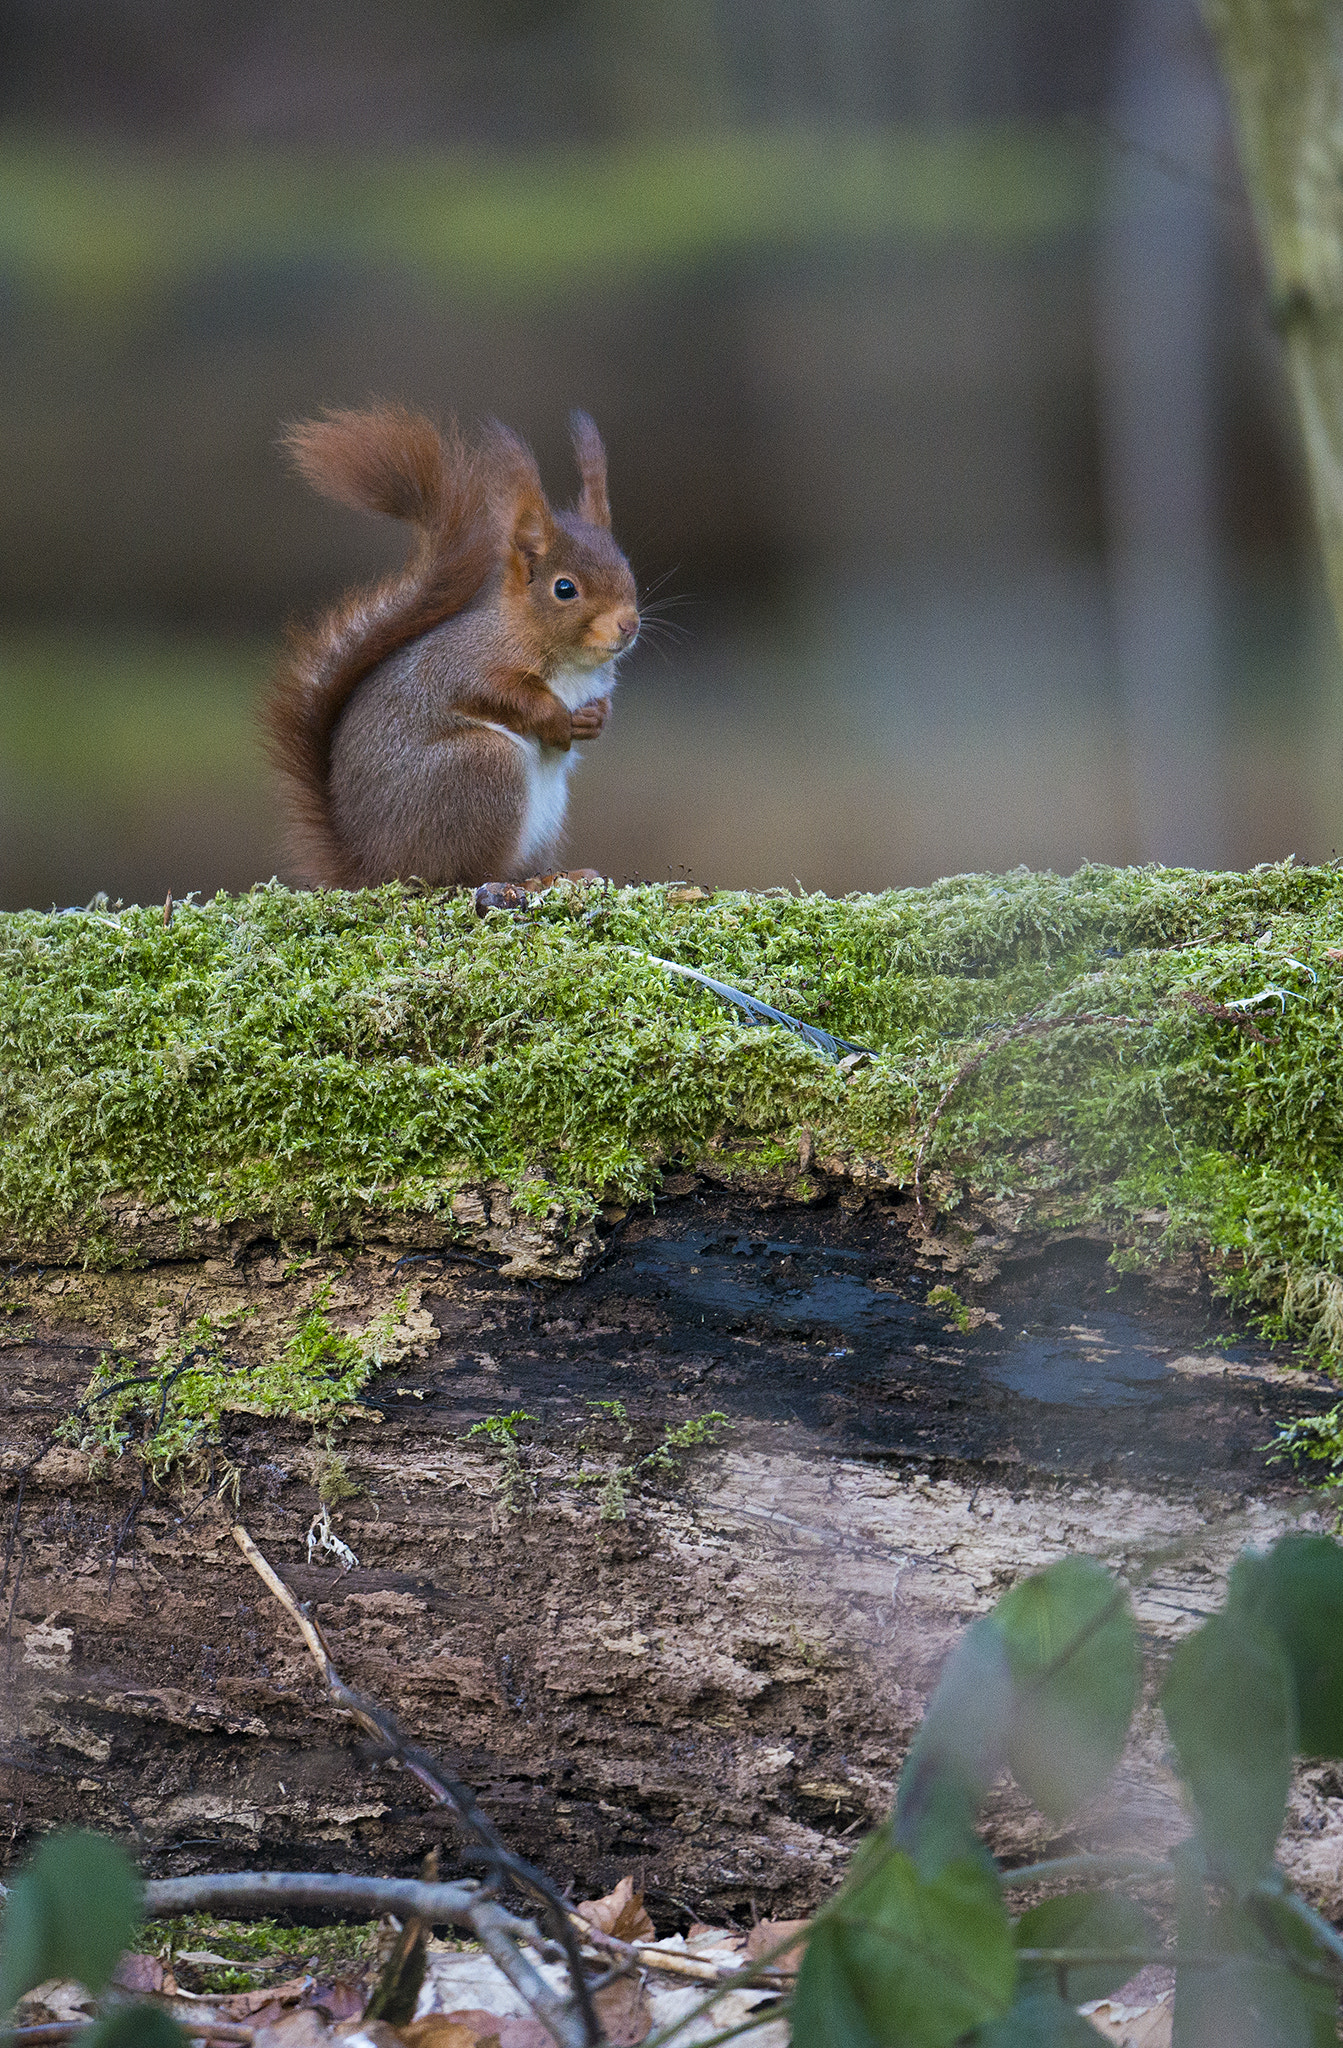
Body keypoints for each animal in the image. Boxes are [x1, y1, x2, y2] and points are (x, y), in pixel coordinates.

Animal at [268, 401, 638, 888]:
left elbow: (600, 708)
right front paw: (554, 719)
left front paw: (593, 720)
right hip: (480, 768)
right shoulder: (465, 663)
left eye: (627, 568)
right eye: (564, 589)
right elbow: (495, 692)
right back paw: (522, 882)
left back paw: (561, 875)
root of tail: (369, 866)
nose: (630, 624)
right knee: (462, 875)